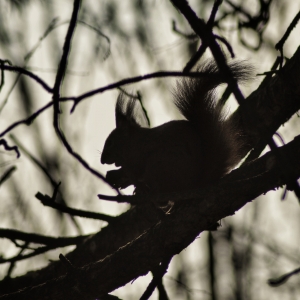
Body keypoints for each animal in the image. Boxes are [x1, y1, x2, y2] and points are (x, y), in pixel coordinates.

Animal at [101, 61, 251, 197]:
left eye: (110, 142)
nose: (102, 160)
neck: (133, 142)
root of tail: (195, 183)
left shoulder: (137, 155)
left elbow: (135, 170)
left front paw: (121, 175)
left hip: (160, 163)